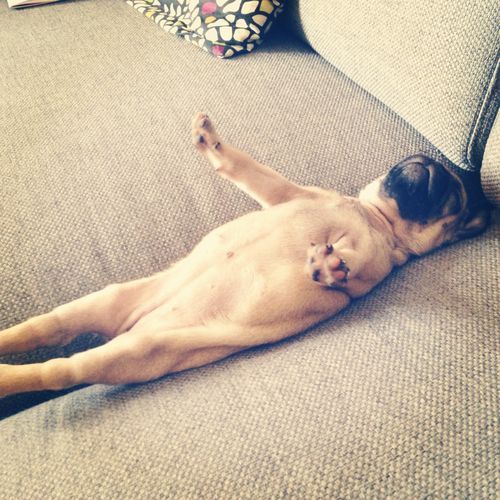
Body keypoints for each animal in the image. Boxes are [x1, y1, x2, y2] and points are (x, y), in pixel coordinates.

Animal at [0, 113, 490, 397]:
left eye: (453, 198)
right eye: (415, 165)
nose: (430, 165)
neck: (374, 217)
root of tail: (133, 327)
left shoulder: (373, 261)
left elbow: (349, 264)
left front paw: (329, 265)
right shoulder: (285, 194)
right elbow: (246, 168)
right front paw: (210, 141)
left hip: (134, 350)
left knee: (59, 370)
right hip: (107, 301)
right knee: (47, 328)